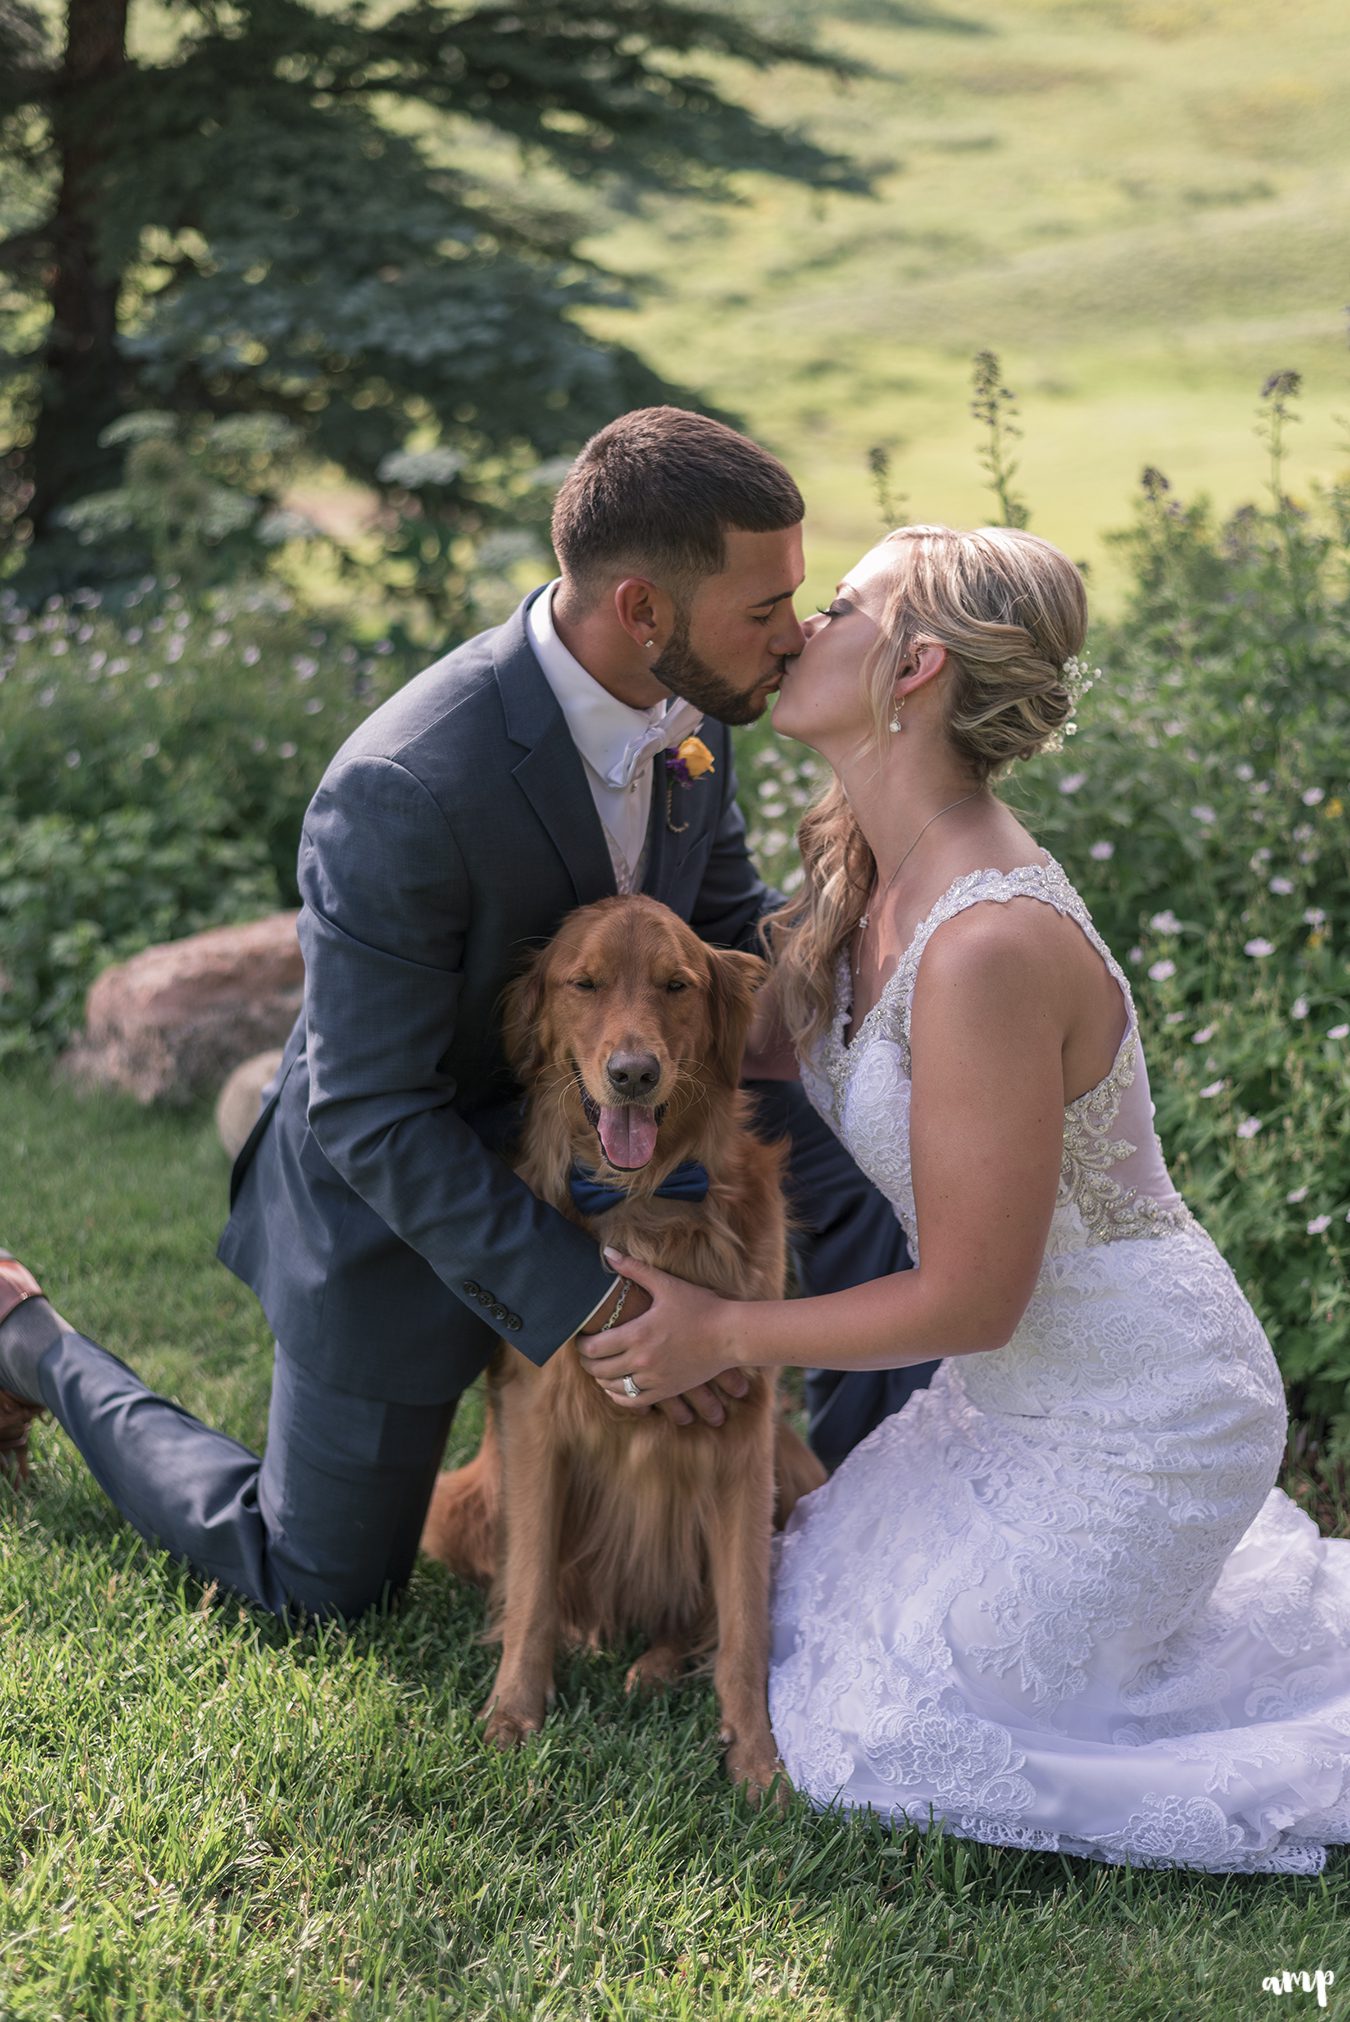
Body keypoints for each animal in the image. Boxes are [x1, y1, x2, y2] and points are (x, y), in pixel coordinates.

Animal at [422, 893, 824, 1795]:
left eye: (678, 985)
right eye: (586, 983)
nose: (634, 1073)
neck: (644, 1201)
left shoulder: (748, 1435)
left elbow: (743, 1617)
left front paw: (758, 1758)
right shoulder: (534, 1419)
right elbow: (532, 1589)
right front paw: (514, 1712)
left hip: (794, 1465)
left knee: (696, 1616)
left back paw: (655, 1665)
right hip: (459, 1504)